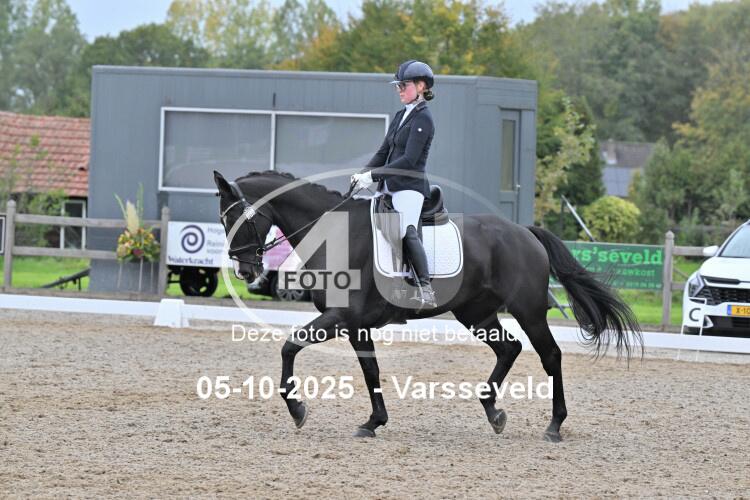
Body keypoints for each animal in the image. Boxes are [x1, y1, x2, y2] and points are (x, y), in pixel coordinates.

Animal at [213, 169, 641, 442]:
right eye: (223, 221)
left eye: (237, 218)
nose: (244, 269)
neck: (334, 233)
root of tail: (524, 231)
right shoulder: (355, 324)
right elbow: (371, 371)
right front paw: (373, 422)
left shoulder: (340, 317)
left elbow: (289, 347)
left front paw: (298, 411)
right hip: (476, 313)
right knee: (509, 348)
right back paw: (494, 413)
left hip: (529, 310)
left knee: (550, 355)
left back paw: (553, 426)